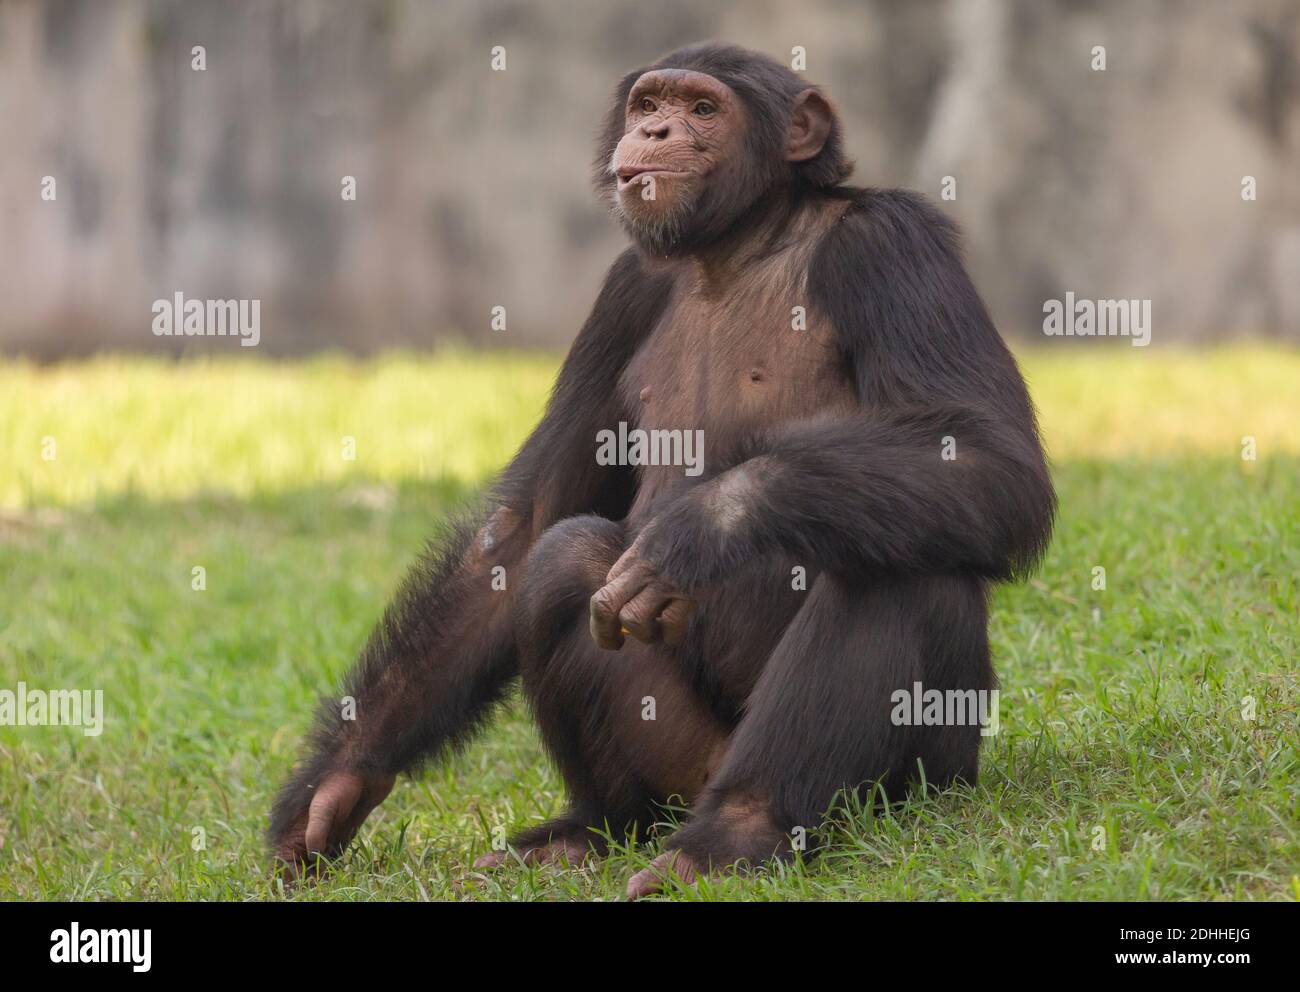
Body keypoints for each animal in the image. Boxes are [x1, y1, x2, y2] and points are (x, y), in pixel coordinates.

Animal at [269, 42, 1050, 899]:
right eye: (650, 102)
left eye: (703, 109)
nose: (656, 129)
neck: (738, 247)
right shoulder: (622, 294)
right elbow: (524, 529)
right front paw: (337, 783)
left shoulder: (892, 245)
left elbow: (988, 458)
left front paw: (707, 527)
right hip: (686, 765)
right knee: (566, 563)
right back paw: (592, 832)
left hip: (930, 773)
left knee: (889, 561)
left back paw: (736, 835)